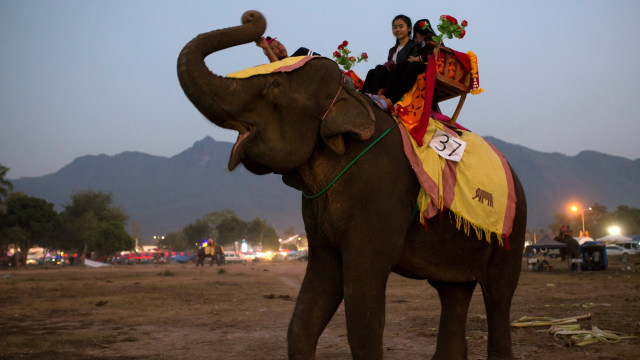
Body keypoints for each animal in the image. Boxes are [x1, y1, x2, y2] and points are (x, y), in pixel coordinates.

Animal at [178, 9, 528, 358]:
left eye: (273, 85)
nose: (251, 17)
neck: (354, 101)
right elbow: (312, 299)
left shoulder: (381, 191)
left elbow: (362, 303)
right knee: (454, 292)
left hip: (512, 230)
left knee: (498, 295)